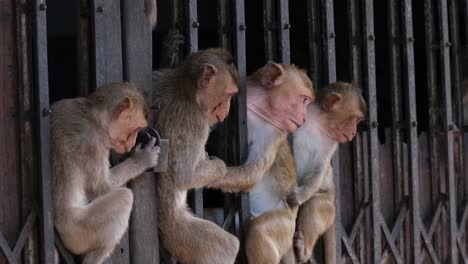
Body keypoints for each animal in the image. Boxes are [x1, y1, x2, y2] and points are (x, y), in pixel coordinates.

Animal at [51, 83, 160, 264]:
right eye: (136, 129)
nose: (132, 143)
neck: (92, 116)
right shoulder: (94, 143)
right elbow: (101, 189)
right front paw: (141, 159)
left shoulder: (63, 106)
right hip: (78, 232)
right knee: (124, 197)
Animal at [245, 64, 314, 264]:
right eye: (304, 100)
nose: (305, 118)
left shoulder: (274, 132)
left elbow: (251, 175)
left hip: (284, 226)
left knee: (259, 230)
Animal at [290, 81, 368, 262]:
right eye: (354, 119)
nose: (354, 132)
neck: (318, 122)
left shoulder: (332, 142)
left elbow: (319, 166)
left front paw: (300, 195)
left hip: (327, 204)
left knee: (314, 205)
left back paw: (304, 252)